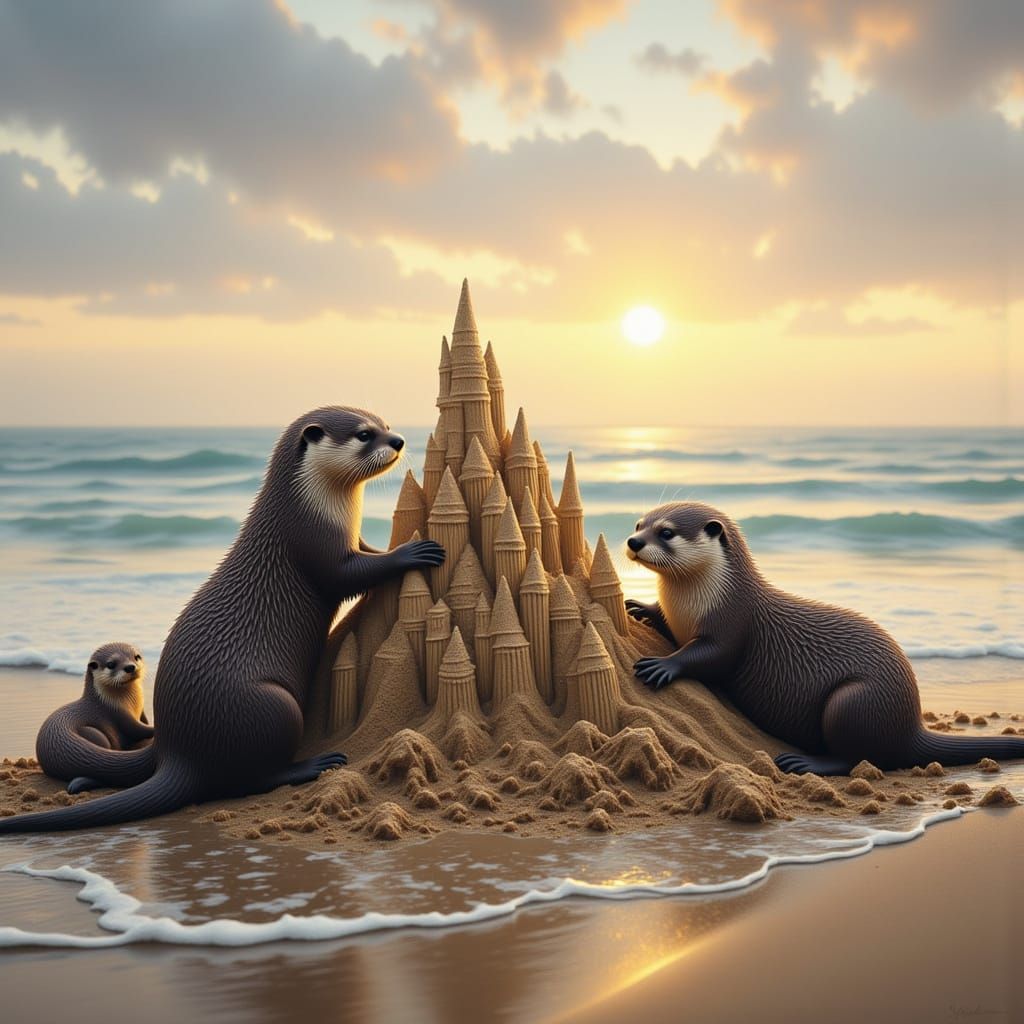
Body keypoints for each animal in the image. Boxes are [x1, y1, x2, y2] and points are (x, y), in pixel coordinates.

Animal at [36, 642, 154, 795]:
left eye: (136, 656)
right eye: (111, 664)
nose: (130, 667)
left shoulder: (140, 711)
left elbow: (144, 721)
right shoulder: (119, 715)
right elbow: (137, 729)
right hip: (96, 734)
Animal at [625, 501, 1024, 775]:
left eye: (666, 532)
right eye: (639, 523)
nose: (632, 541)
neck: (693, 603)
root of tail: (911, 725)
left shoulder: (734, 621)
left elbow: (710, 656)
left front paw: (665, 665)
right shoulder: (679, 617)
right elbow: (663, 621)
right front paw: (639, 605)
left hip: (854, 701)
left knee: (856, 756)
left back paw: (808, 763)